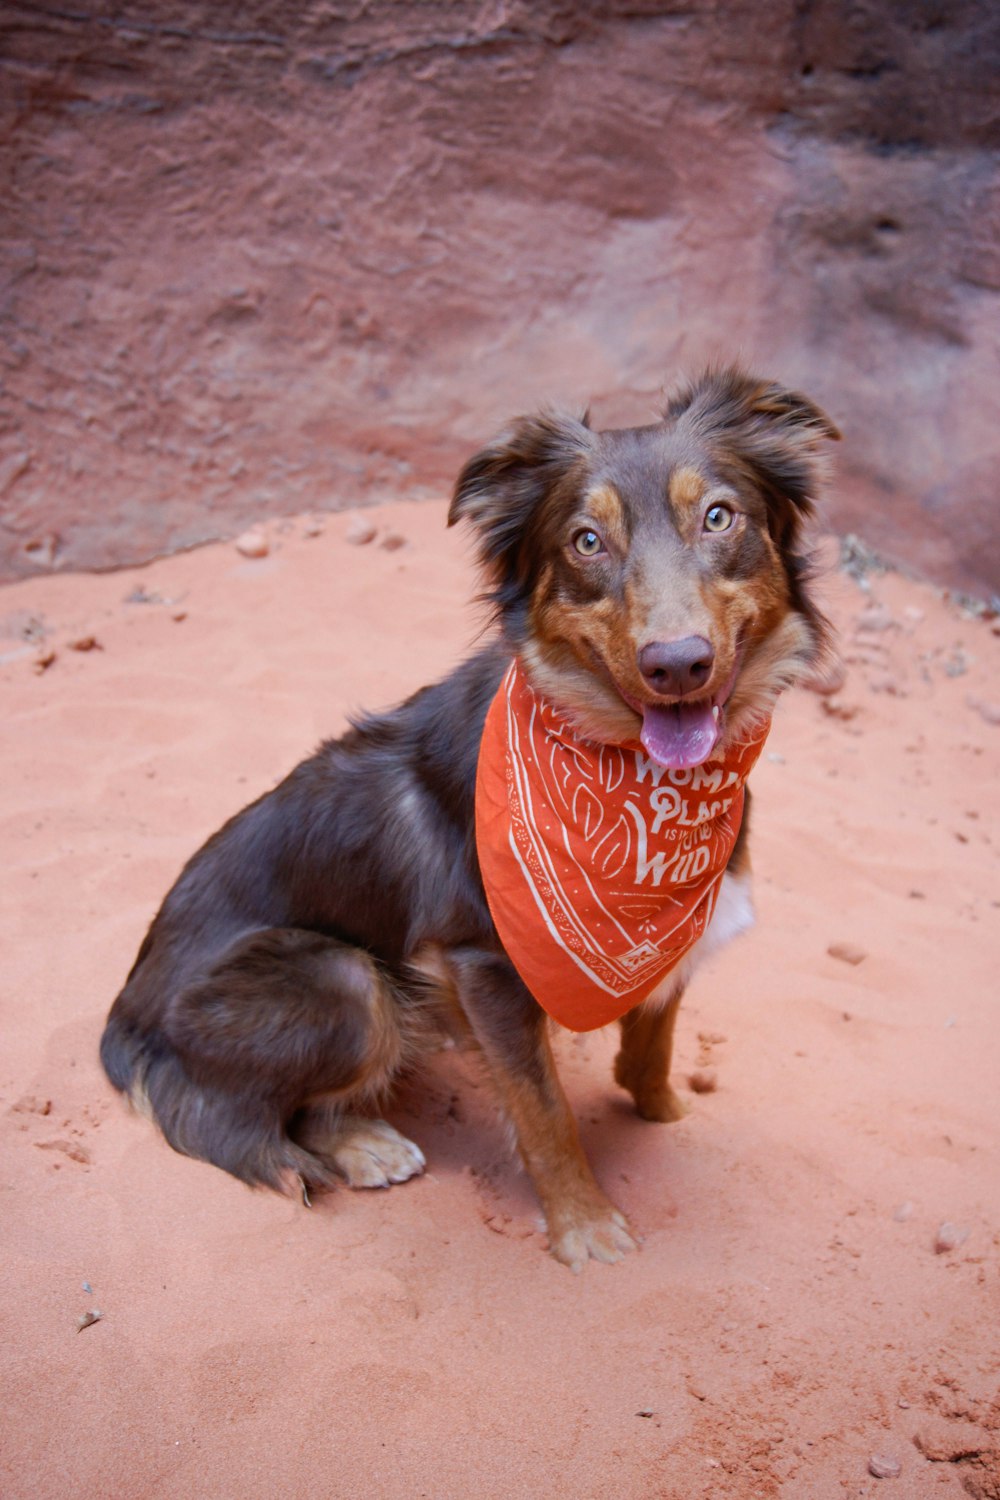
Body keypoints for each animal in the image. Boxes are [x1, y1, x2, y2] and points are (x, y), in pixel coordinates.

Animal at [99, 363, 839, 1266]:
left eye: (720, 517)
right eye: (586, 541)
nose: (677, 664)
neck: (638, 787)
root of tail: (127, 1018)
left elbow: (656, 1032)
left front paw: (659, 1107)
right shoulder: (484, 964)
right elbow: (546, 1114)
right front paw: (585, 1229)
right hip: (344, 981)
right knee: (249, 1115)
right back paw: (363, 1144)